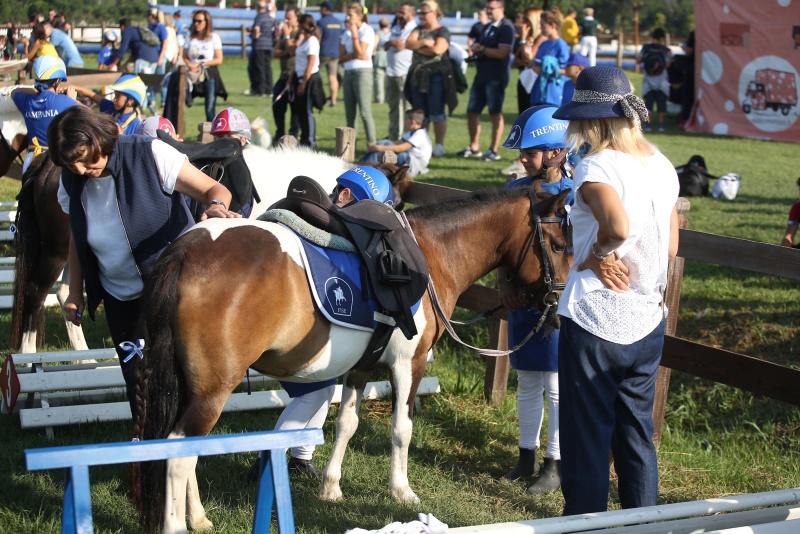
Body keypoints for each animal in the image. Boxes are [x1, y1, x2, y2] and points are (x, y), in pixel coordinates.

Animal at [130, 186, 568, 532]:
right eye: (560, 244)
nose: (556, 306)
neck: (431, 252)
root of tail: (186, 251)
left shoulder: (361, 367)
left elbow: (346, 424)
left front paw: (331, 487)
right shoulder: (409, 363)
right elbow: (401, 429)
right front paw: (401, 490)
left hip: (192, 388)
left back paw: (199, 518)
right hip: (213, 390)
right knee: (177, 451)